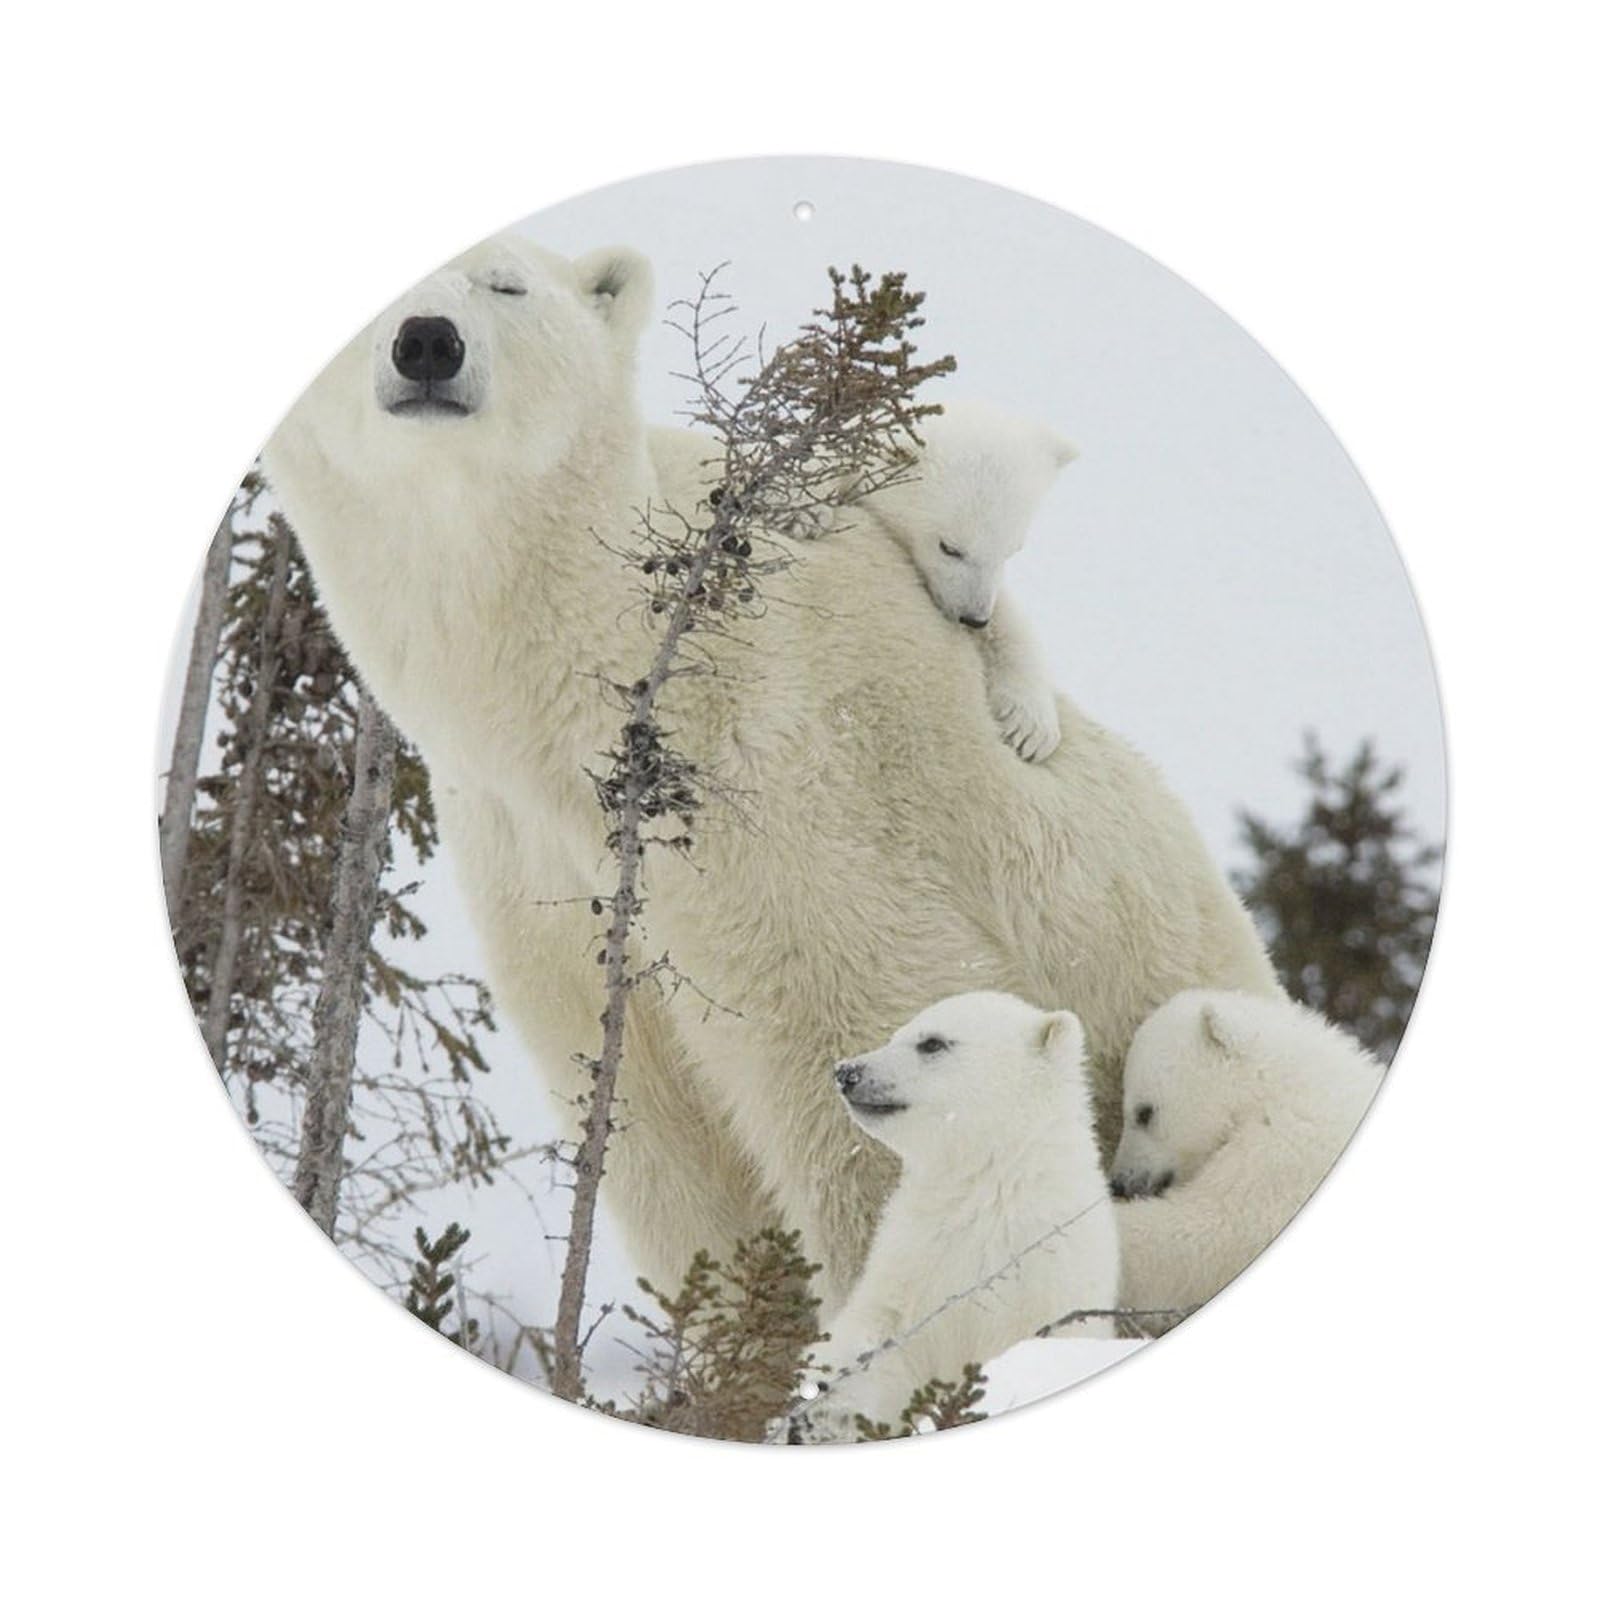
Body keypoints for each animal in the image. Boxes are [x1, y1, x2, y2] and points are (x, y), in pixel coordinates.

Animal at [261, 231, 1281, 1314]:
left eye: (506, 285)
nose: (425, 343)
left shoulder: (778, 782)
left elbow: (858, 1047)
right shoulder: (532, 858)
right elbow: (659, 1137)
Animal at [786, 991, 1118, 1443]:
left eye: (932, 1043)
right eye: (897, 1033)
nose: (847, 1071)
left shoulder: (1049, 1275)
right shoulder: (914, 1255)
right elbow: (881, 1333)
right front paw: (823, 1408)